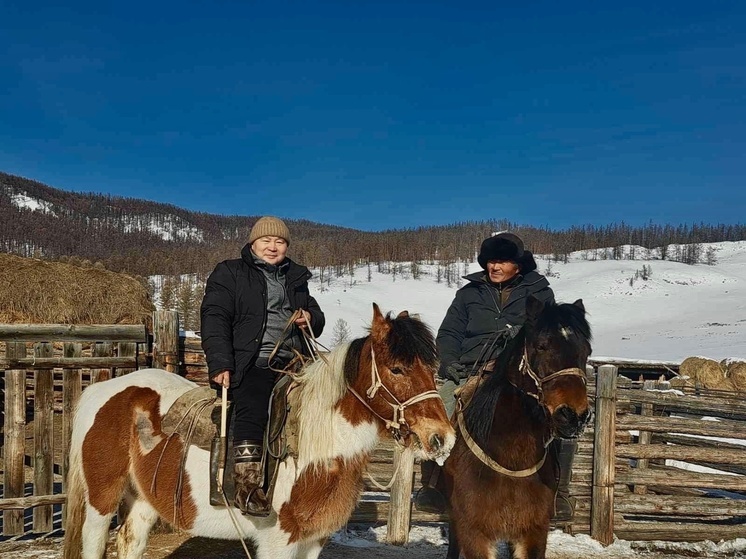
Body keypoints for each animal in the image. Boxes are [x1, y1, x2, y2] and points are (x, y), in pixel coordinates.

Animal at [61, 304, 454, 559]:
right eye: (397, 369)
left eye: (431, 366)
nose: (443, 437)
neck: (314, 449)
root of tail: (104, 390)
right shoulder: (279, 540)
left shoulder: (314, 540)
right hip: (101, 500)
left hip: (142, 499)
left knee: (130, 541)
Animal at [442, 298, 592, 559]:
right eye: (541, 346)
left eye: (586, 351)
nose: (574, 416)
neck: (511, 459)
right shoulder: (474, 532)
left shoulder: (533, 532)